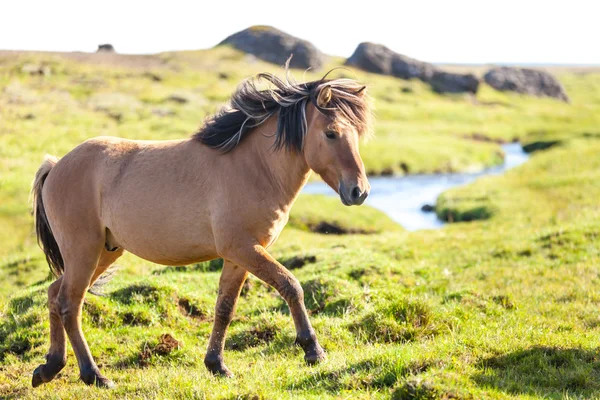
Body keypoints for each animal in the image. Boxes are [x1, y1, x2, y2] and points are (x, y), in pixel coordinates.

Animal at [31, 69, 376, 388]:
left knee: (54, 295)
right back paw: (93, 375)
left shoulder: (240, 255)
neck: (254, 168)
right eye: (331, 133)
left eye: (357, 134)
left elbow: (225, 307)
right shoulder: (243, 248)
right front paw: (313, 350)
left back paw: (49, 367)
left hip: (104, 252)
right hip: (84, 251)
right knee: (70, 305)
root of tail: (56, 165)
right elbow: (291, 285)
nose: (359, 192)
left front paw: (216, 365)